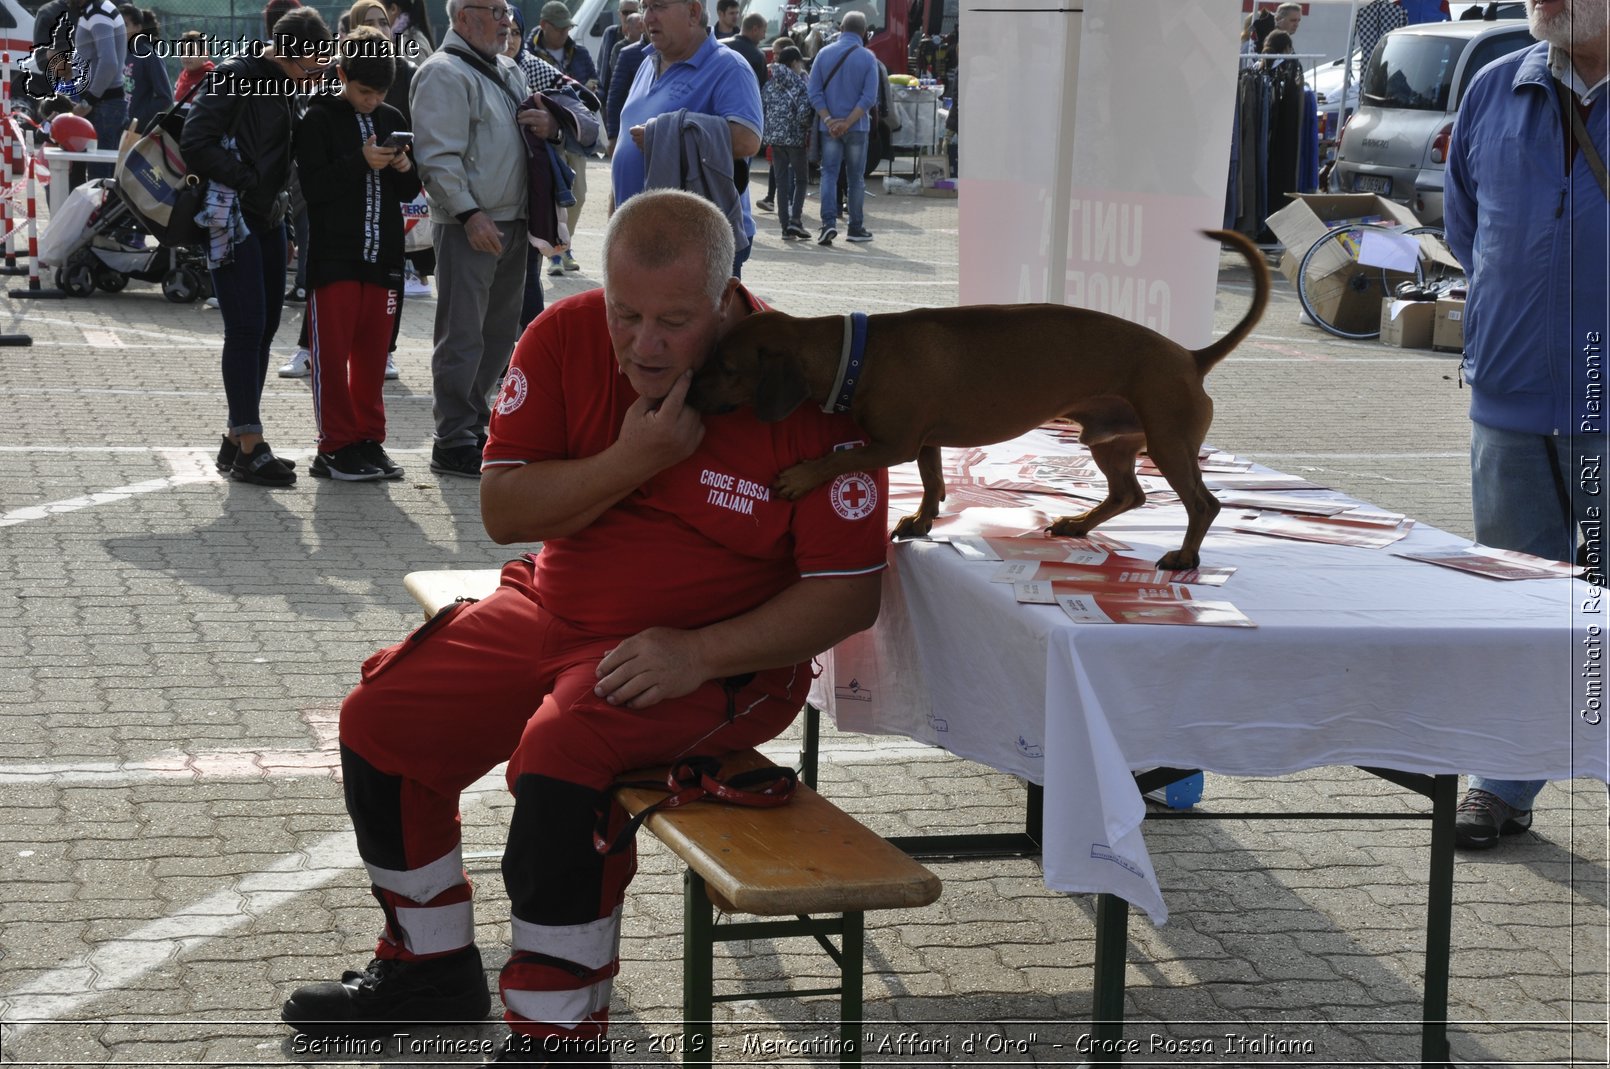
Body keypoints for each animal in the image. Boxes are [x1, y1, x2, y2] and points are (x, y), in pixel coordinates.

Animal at [685, 230, 1262, 573]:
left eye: (727, 369)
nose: (687, 393)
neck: (858, 353)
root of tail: (1190, 356)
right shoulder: (924, 443)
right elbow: (933, 481)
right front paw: (921, 520)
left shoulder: (892, 444)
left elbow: (838, 458)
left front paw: (801, 476)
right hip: (1110, 441)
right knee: (1129, 494)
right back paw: (1078, 524)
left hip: (1168, 443)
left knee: (1203, 504)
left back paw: (1185, 555)